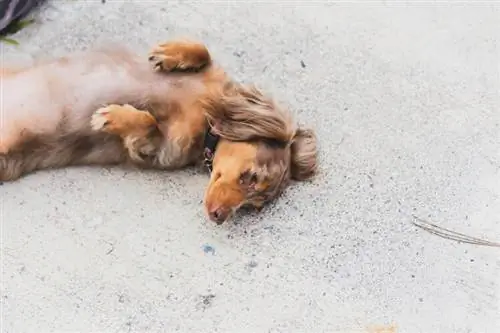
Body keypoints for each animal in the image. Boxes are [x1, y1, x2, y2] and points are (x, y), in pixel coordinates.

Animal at [0, 39, 318, 223]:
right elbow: (203, 50)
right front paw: (170, 53)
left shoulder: (160, 147)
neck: (207, 124)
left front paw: (114, 116)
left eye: (253, 207)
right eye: (249, 176)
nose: (219, 217)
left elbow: (148, 123)